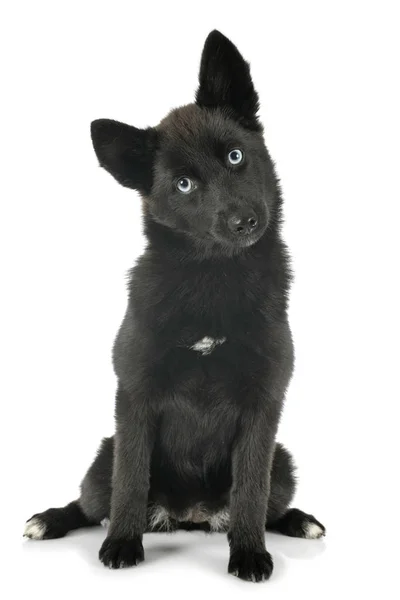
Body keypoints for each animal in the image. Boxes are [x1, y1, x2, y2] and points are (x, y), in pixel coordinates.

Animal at [24, 29, 324, 580]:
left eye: (235, 156)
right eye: (183, 184)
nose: (244, 222)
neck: (214, 279)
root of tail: (190, 515)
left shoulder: (264, 406)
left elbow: (250, 491)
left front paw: (249, 553)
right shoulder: (134, 398)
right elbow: (130, 480)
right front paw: (123, 543)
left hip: (285, 463)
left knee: (269, 500)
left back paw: (299, 520)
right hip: (102, 458)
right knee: (92, 501)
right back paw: (51, 519)